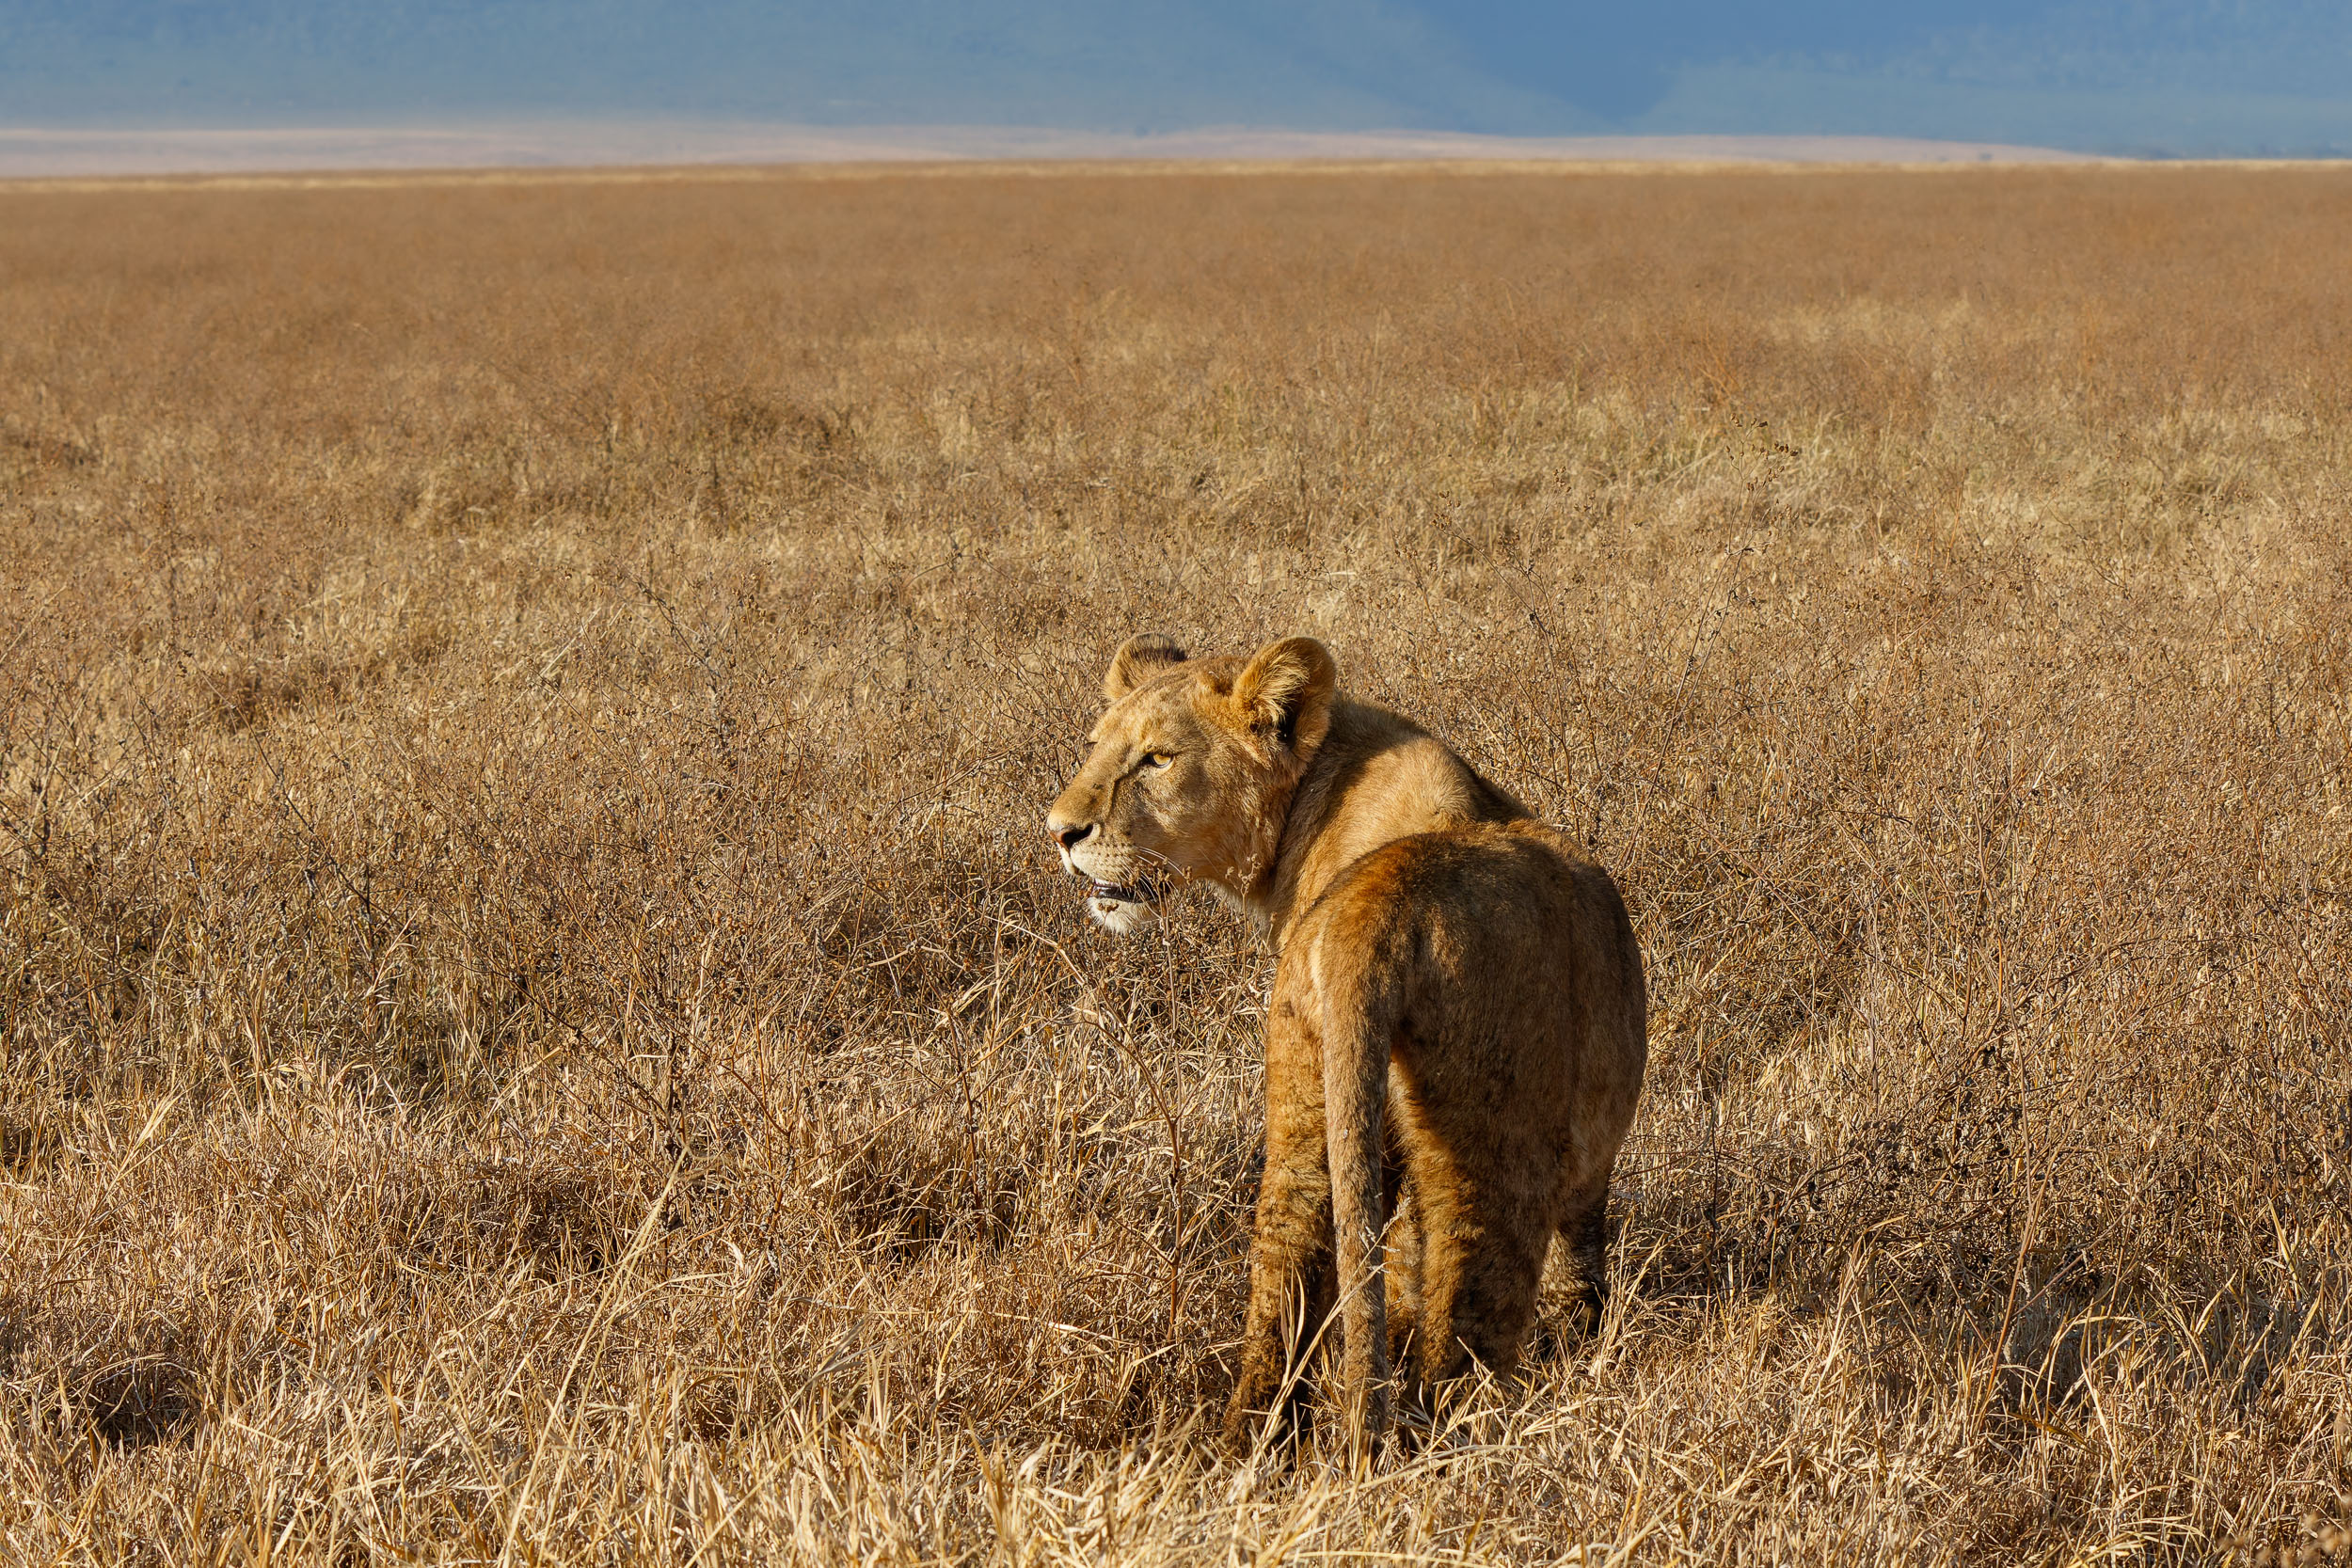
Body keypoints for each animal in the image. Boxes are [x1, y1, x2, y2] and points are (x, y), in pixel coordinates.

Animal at [1045, 632, 1648, 1452]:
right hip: (1487, 1157)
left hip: (1303, 1076)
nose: (1059, 830)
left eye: (1157, 759)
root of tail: (1380, 900)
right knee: (1462, 1319)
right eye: (1098, 748)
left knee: (1290, 1260)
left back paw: (1250, 1447)